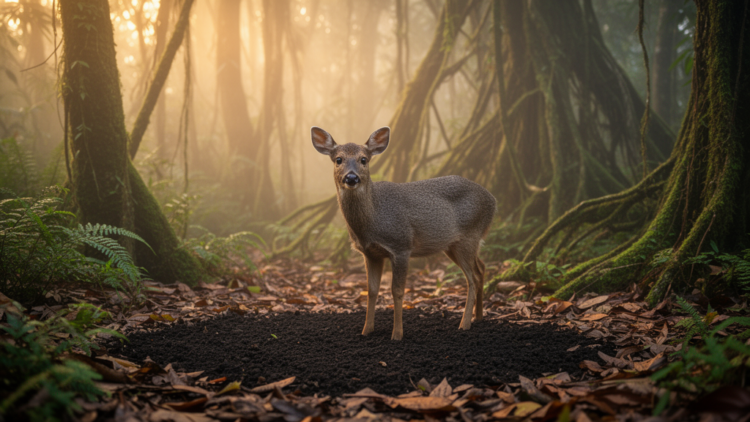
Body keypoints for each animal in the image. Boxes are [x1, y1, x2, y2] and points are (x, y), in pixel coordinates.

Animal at [311, 126, 496, 340]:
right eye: (338, 159)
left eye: (364, 159)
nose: (351, 178)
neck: (374, 217)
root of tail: (493, 200)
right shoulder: (370, 253)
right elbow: (372, 290)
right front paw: (366, 330)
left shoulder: (401, 245)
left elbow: (397, 291)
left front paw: (397, 334)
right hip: (454, 245)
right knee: (481, 268)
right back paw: (478, 317)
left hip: (469, 235)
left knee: (472, 277)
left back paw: (464, 323)